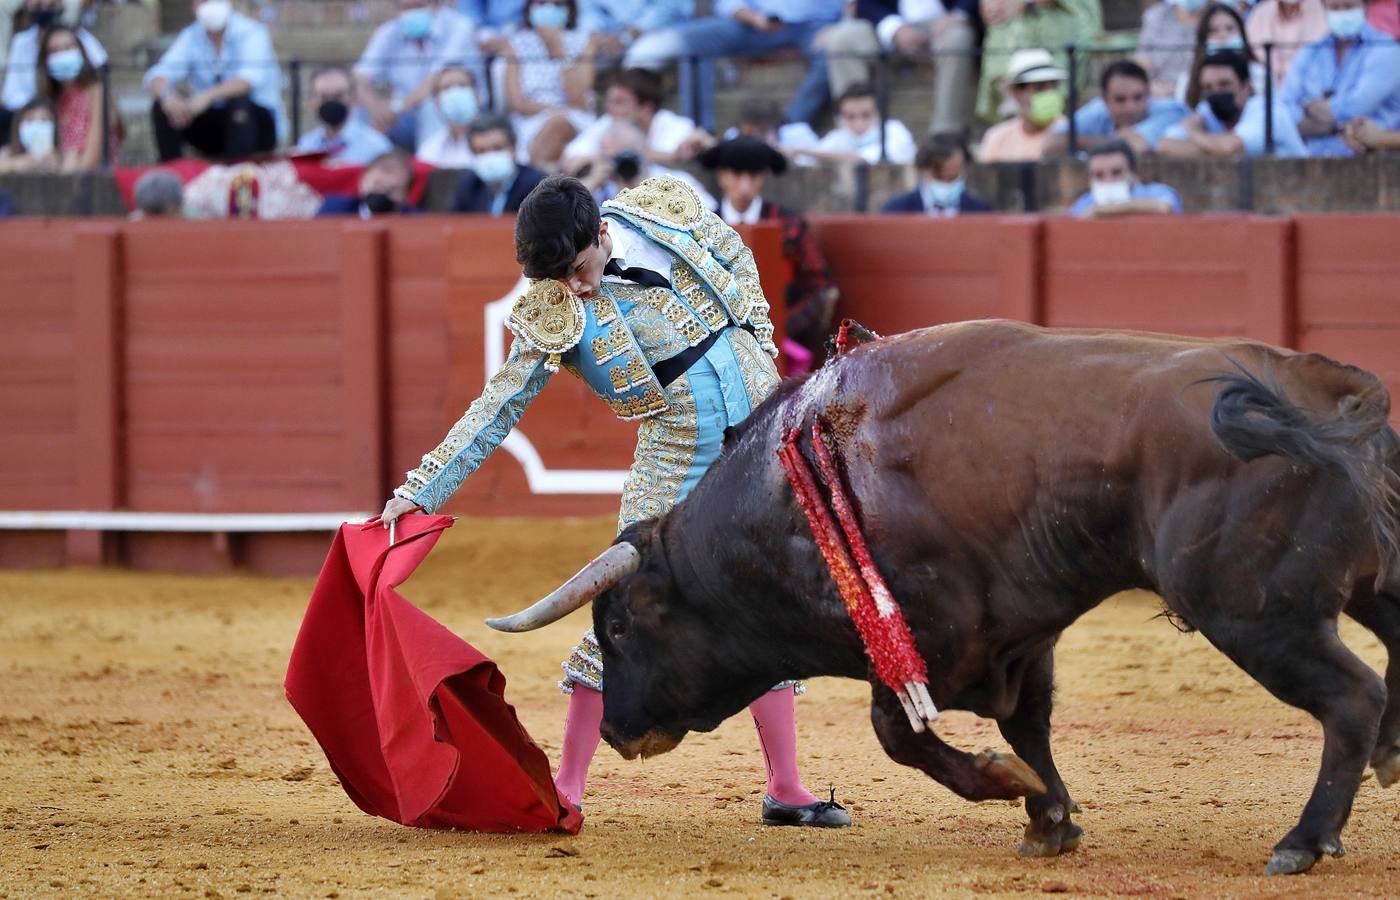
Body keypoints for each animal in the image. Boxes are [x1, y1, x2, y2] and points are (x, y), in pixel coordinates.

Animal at [484, 320, 1400, 879]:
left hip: (1253, 610)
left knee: (1353, 696)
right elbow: (1028, 725)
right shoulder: (1020, 635)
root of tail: (1332, 389)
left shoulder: (934, 638)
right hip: (1371, 585)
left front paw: (1007, 787)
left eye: (620, 622)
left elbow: (901, 734)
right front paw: (1047, 816)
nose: (619, 729)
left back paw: (1303, 841)